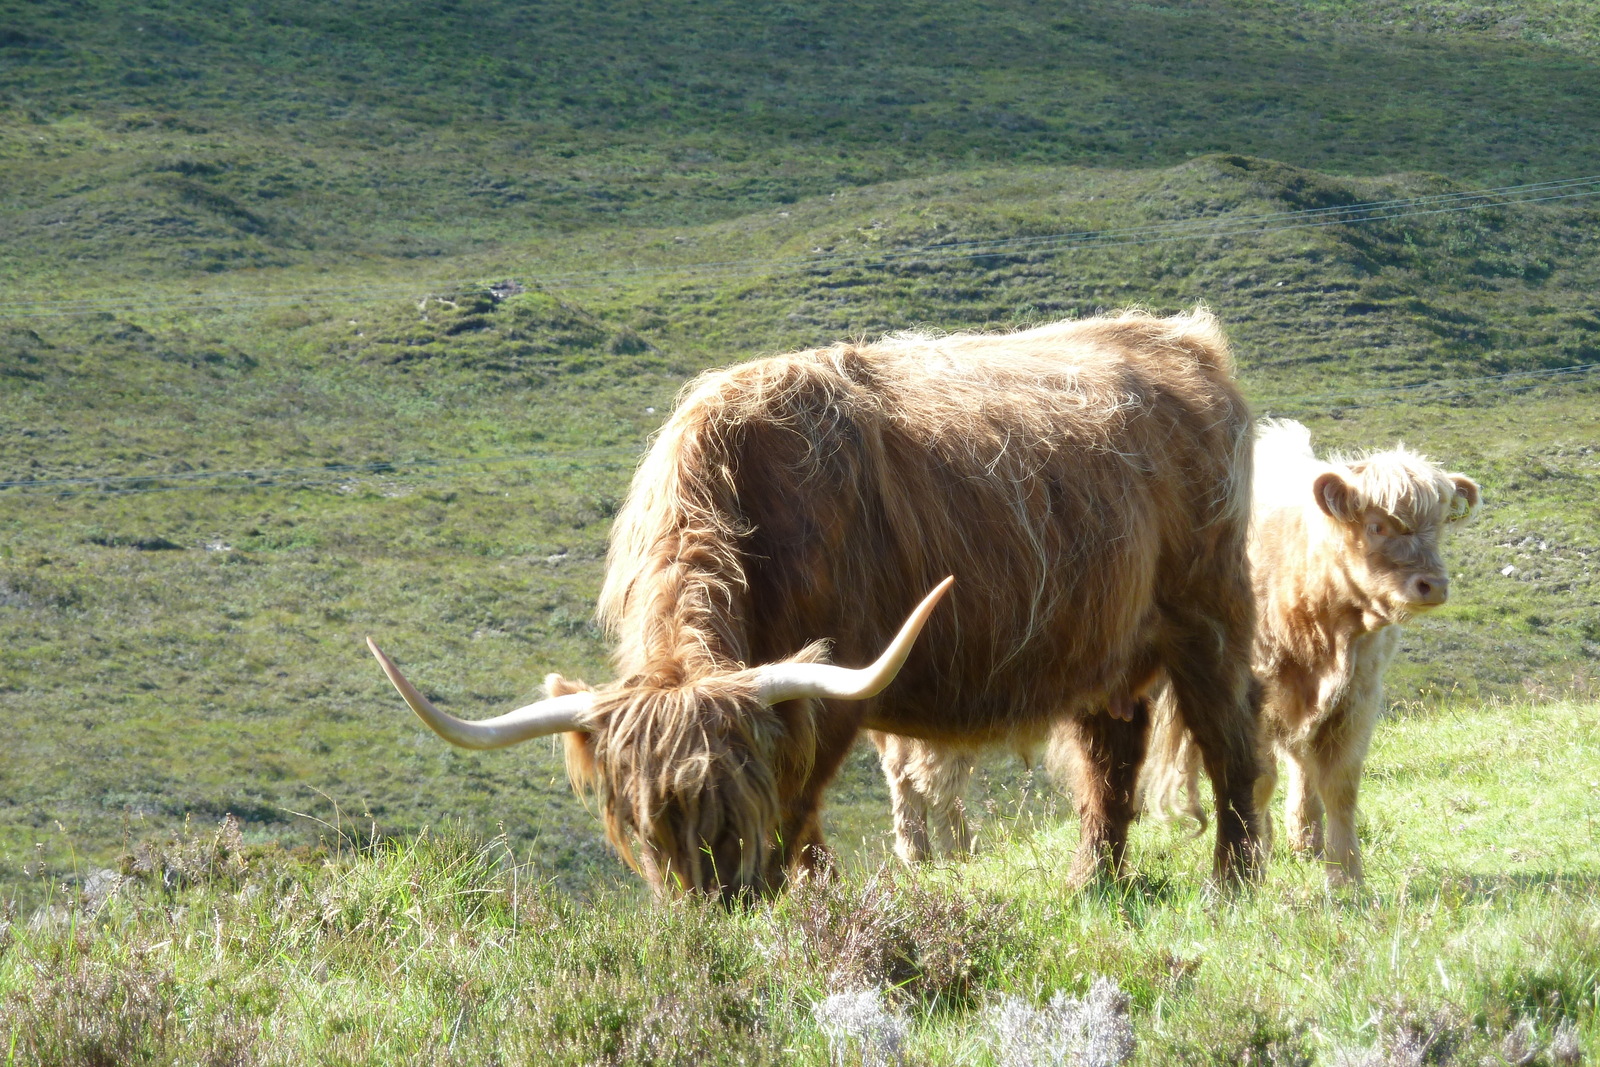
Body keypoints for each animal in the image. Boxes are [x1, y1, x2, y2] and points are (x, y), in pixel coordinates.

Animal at [368, 310, 1267, 902]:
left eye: (734, 797)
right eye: (645, 819)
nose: (715, 901)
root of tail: (1182, 337)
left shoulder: (829, 694)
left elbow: (799, 815)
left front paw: (804, 903)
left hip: (1208, 612)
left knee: (1230, 739)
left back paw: (1233, 880)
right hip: (1102, 641)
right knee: (1111, 756)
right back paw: (1092, 881)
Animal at [1145, 415, 1478, 883]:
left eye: (1441, 525)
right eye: (1376, 525)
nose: (1432, 585)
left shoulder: (1357, 697)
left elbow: (1340, 784)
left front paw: (1347, 876)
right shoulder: (1257, 695)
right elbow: (1259, 779)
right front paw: (1254, 859)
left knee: (1302, 762)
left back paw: (1306, 840)